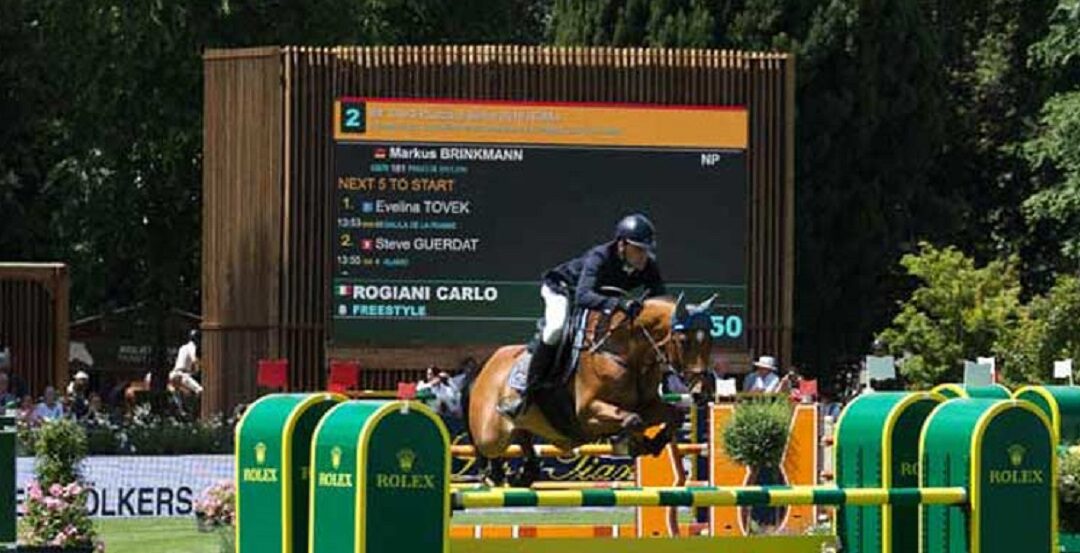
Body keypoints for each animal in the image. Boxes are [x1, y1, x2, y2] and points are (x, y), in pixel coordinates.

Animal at [466, 293, 712, 483]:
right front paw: (631, 444)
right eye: (683, 341)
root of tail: (485, 368)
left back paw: (523, 474)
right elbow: (633, 420)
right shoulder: (587, 413)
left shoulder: (648, 405)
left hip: (521, 425)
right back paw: (493, 473)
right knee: (485, 449)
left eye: (710, 339)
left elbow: (673, 416)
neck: (625, 353)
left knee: (522, 438)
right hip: (491, 435)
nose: (702, 391)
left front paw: (651, 444)